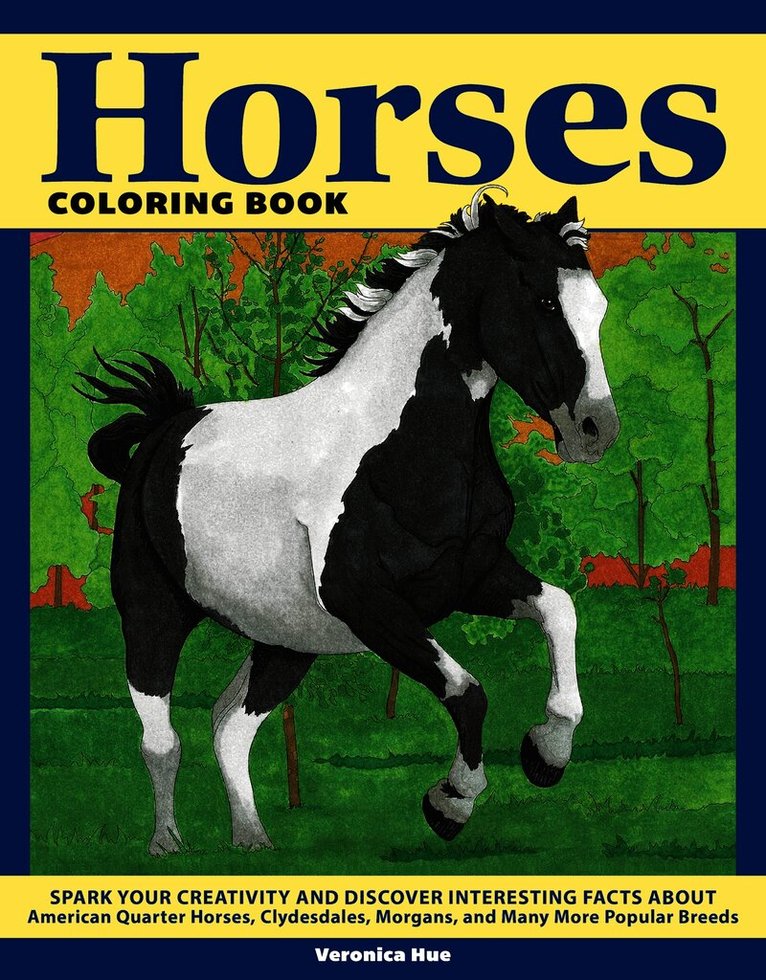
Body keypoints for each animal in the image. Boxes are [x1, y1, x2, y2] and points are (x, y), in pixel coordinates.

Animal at [77, 186, 619, 854]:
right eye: (543, 299)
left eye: (597, 306)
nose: (595, 430)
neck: (401, 452)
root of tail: (162, 429)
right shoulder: (367, 601)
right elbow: (467, 692)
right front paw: (450, 803)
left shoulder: (470, 578)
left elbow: (560, 610)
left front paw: (547, 755)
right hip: (153, 616)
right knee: (161, 740)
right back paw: (167, 847)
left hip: (285, 642)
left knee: (229, 726)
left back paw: (253, 842)